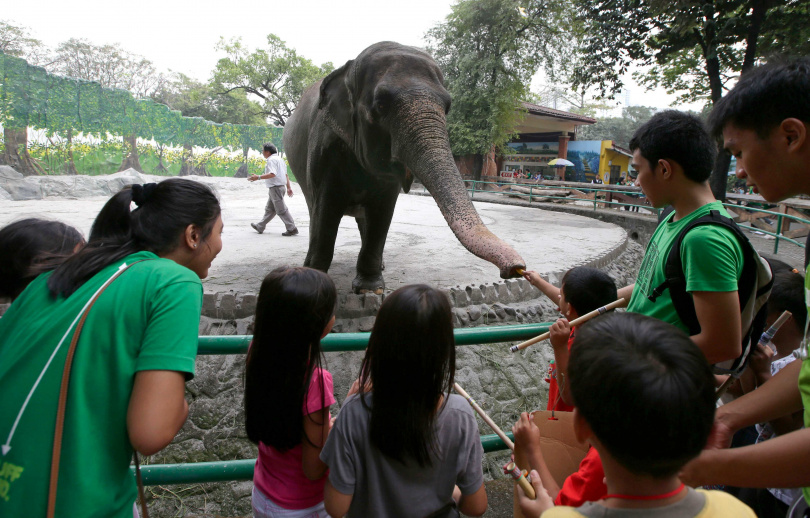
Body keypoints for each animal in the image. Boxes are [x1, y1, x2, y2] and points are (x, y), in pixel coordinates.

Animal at [282, 42, 524, 294]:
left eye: (448, 107)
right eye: (380, 105)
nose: (516, 269)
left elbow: (382, 212)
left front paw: (370, 289)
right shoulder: (325, 149)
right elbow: (326, 209)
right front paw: (314, 279)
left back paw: (381, 265)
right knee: (315, 210)